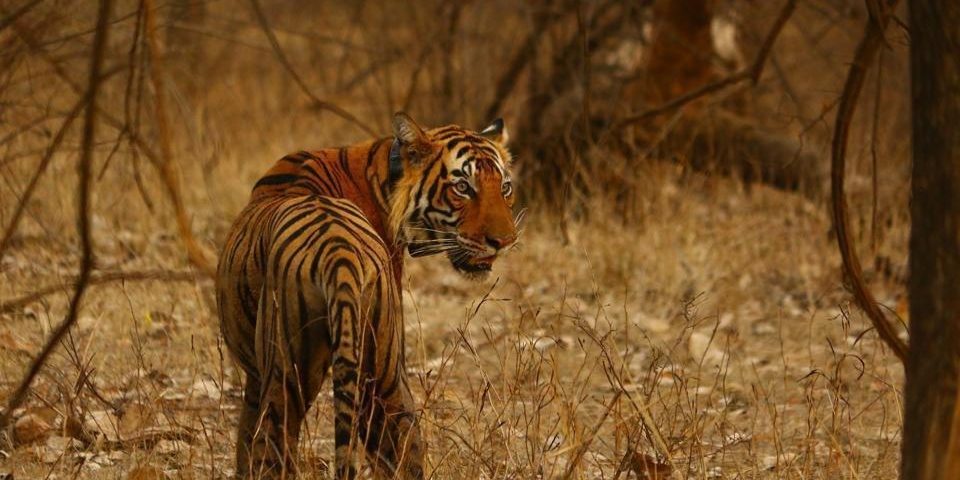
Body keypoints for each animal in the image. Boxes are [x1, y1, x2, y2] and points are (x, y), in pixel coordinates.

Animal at [216, 112, 519, 479]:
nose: (505, 242)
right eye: (463, 188)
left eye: (504, 187)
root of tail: (338, 251)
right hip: (382, 373)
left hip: (297, 378)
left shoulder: (256, 379)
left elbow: (246, 442)